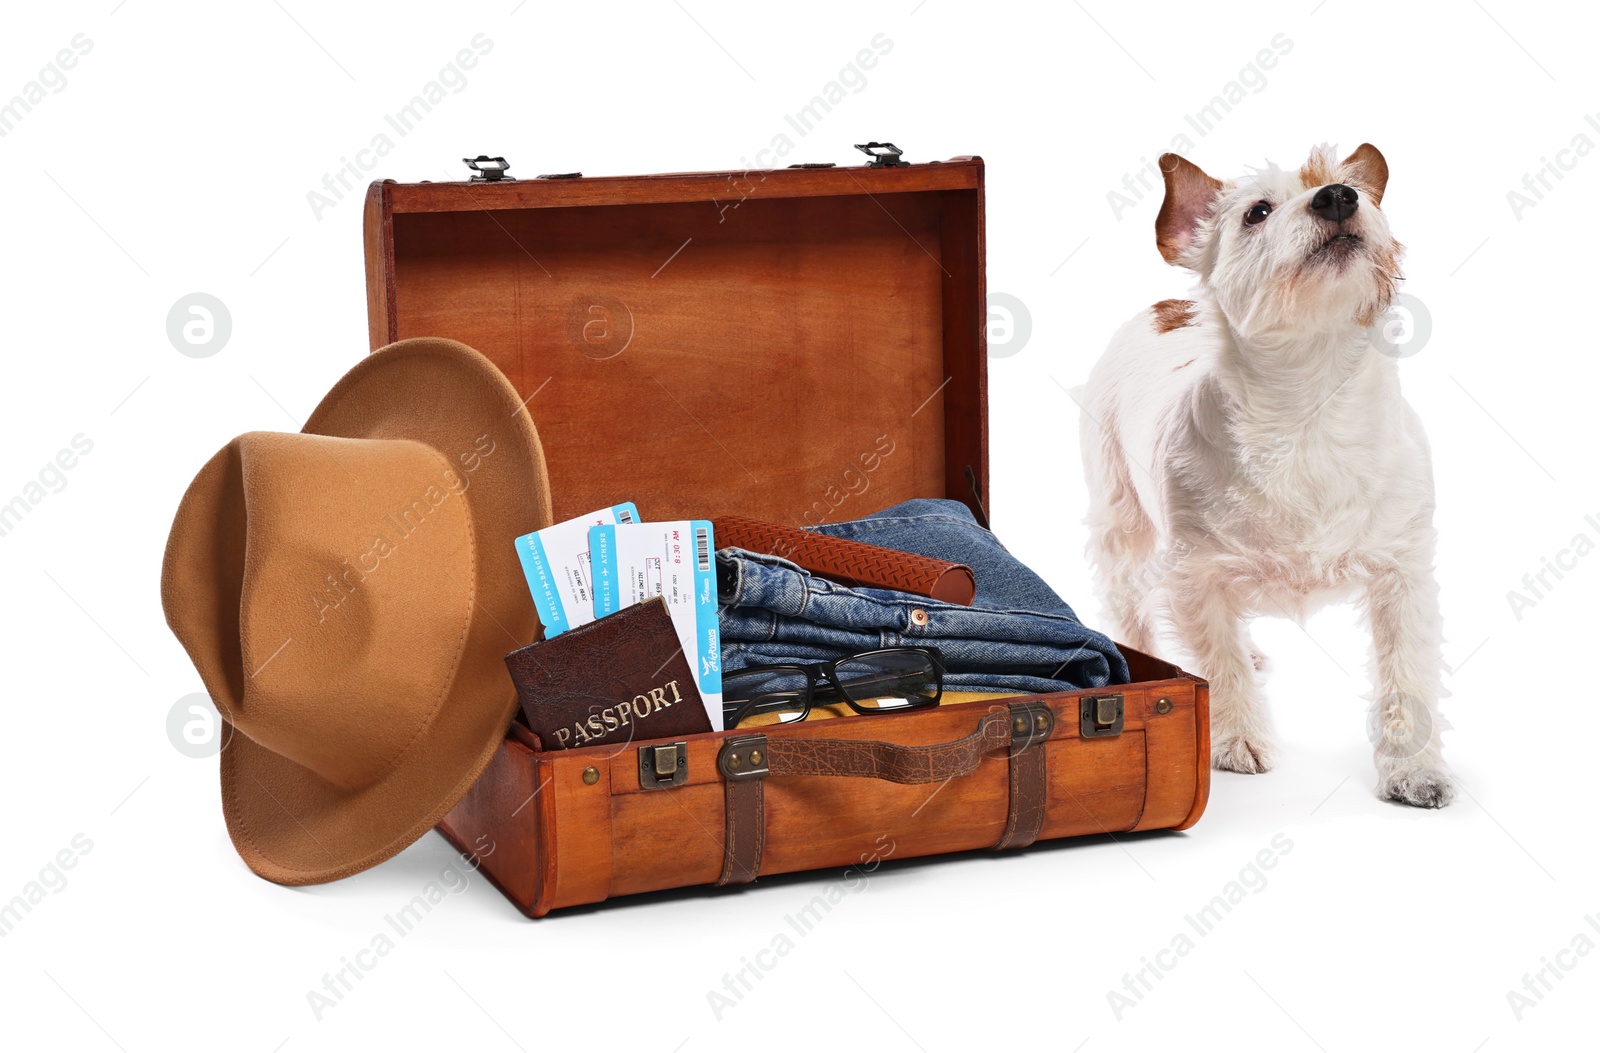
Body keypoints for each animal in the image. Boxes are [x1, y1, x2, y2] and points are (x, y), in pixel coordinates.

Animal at [1081, 145, 1459, 803]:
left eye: (1354, 190)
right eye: (1257, 212)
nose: (1337, 197)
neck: (1309, 405)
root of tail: (1168, 306)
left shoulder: (1403, 577)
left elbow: (1406, 675)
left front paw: (1414, 769)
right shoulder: (1196, 576)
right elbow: (1221, 662)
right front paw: (1236, 737)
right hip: (1120, 521)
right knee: (1131, 607)